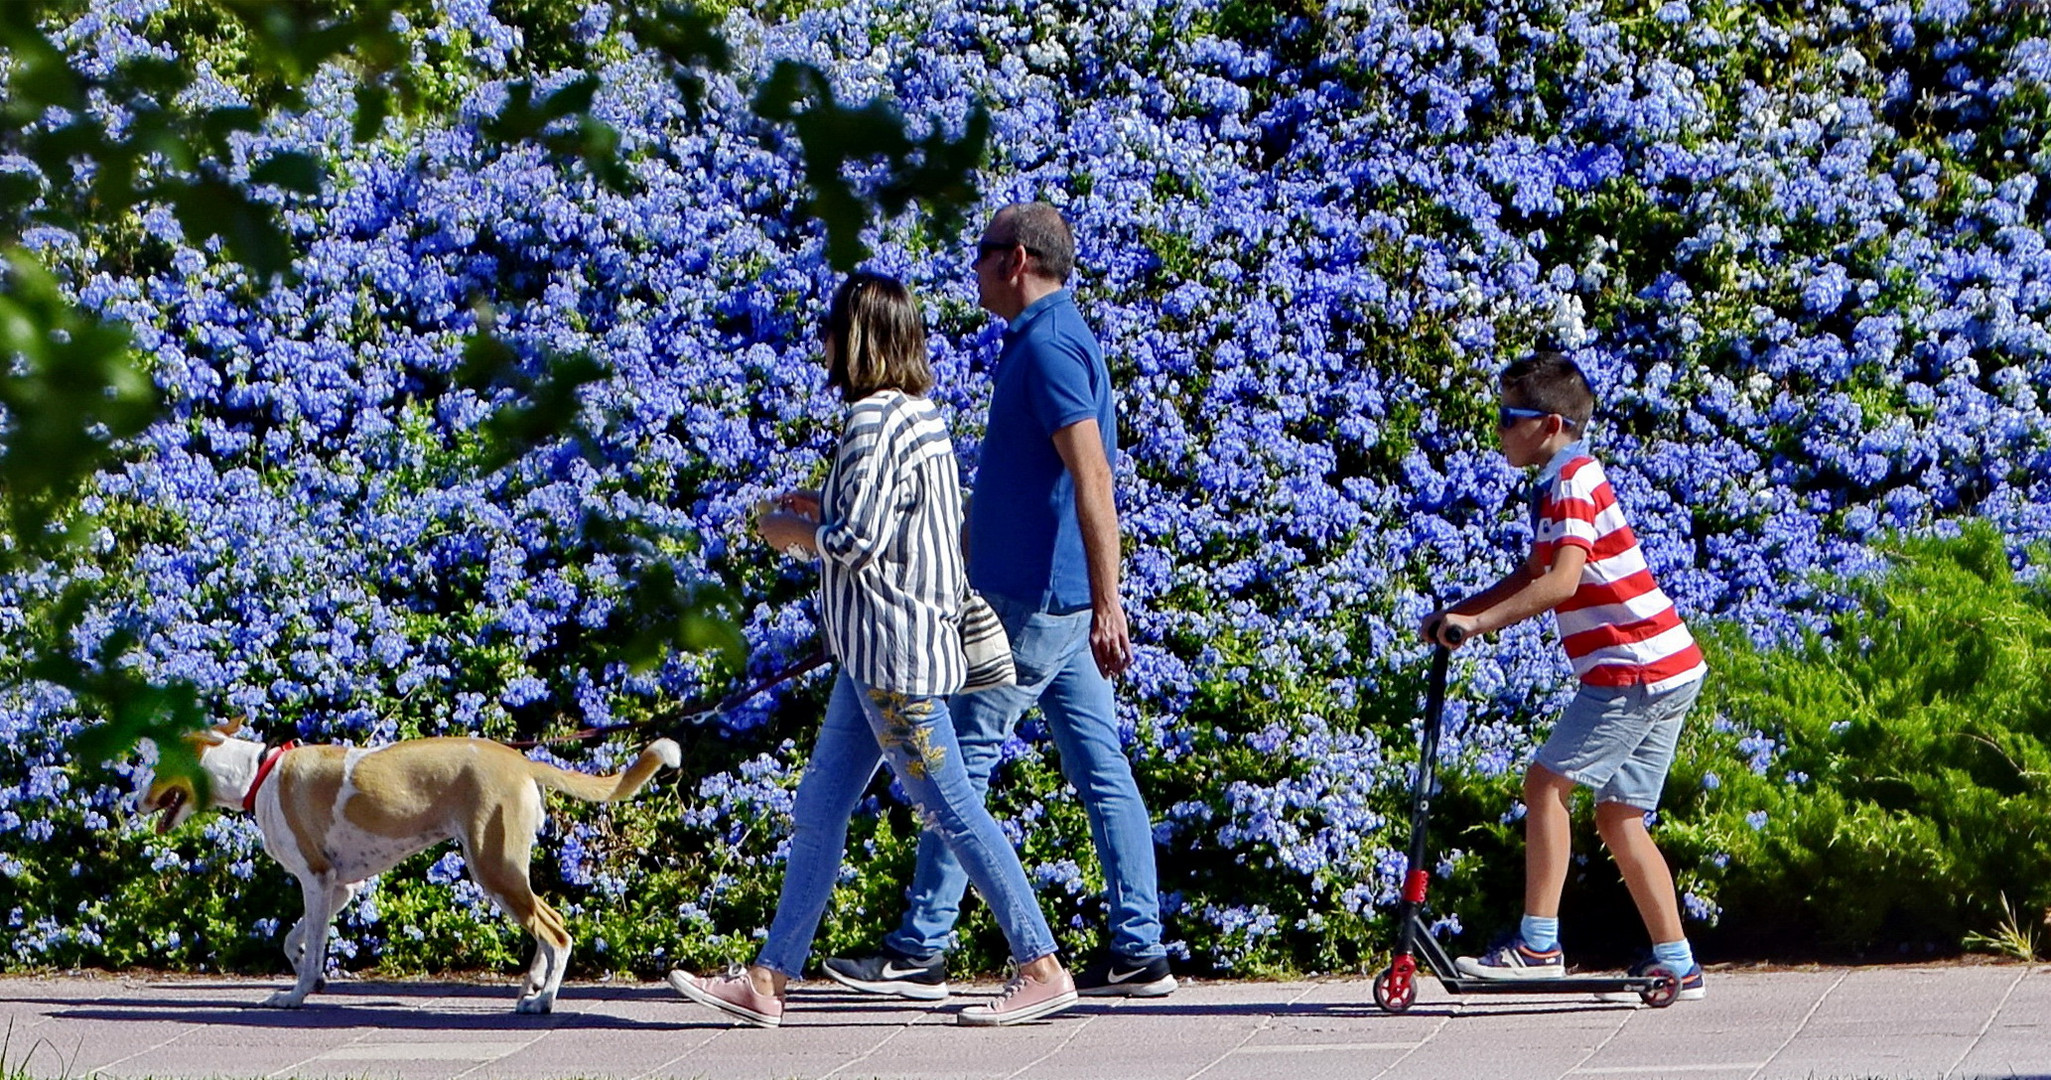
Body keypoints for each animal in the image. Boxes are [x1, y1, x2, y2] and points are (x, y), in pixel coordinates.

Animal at [138, 725, 680, 1016]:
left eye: (154, 769)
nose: (134, 801)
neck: (260, 775)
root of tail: (520, 760)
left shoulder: (315, 880)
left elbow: (308, 947)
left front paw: (294, 996)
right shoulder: (340, 886)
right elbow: (294, 940)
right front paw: (312, 978)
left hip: (493, 866)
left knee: (558, 933)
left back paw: (545, 1001)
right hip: (502, 870)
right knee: (547, 930)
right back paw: (532, 989)